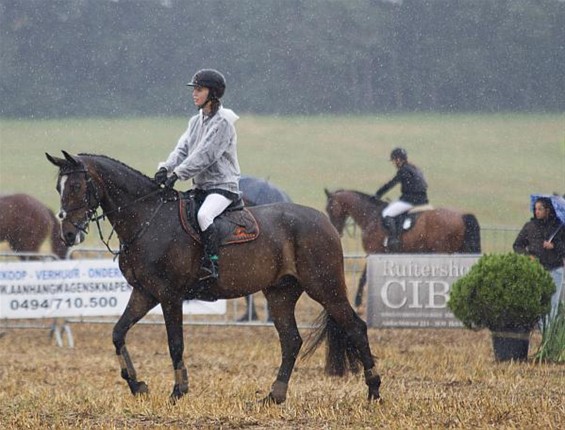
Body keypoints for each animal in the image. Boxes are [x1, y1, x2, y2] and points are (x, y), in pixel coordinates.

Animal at [324, 190, 478, 308]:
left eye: (330, 208)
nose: (336, 231)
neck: (371, 216)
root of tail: (462, 215)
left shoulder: (373, 253)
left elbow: (363, 277)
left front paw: (357, 302)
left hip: (443, 252)